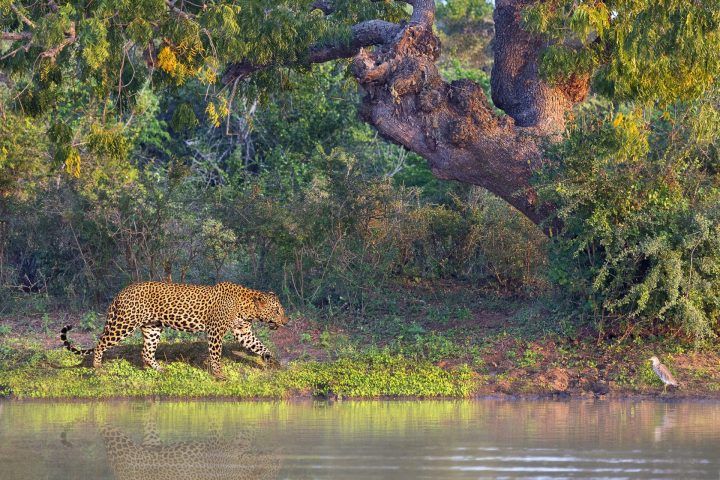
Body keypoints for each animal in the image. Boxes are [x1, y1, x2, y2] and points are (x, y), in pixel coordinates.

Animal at [60, 281, 288, 378]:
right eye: (277, 310)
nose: (286, 321)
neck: (247, 307)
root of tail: (121, 292)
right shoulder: (215, 331)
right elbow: (216, 355)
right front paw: (218, 374)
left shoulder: (243, 332)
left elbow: (261, 346)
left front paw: (273, 362)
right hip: (124, 323)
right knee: (100, 343)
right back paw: (97, 367)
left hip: (152, 327)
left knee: (146, 351)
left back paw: (159, 370)